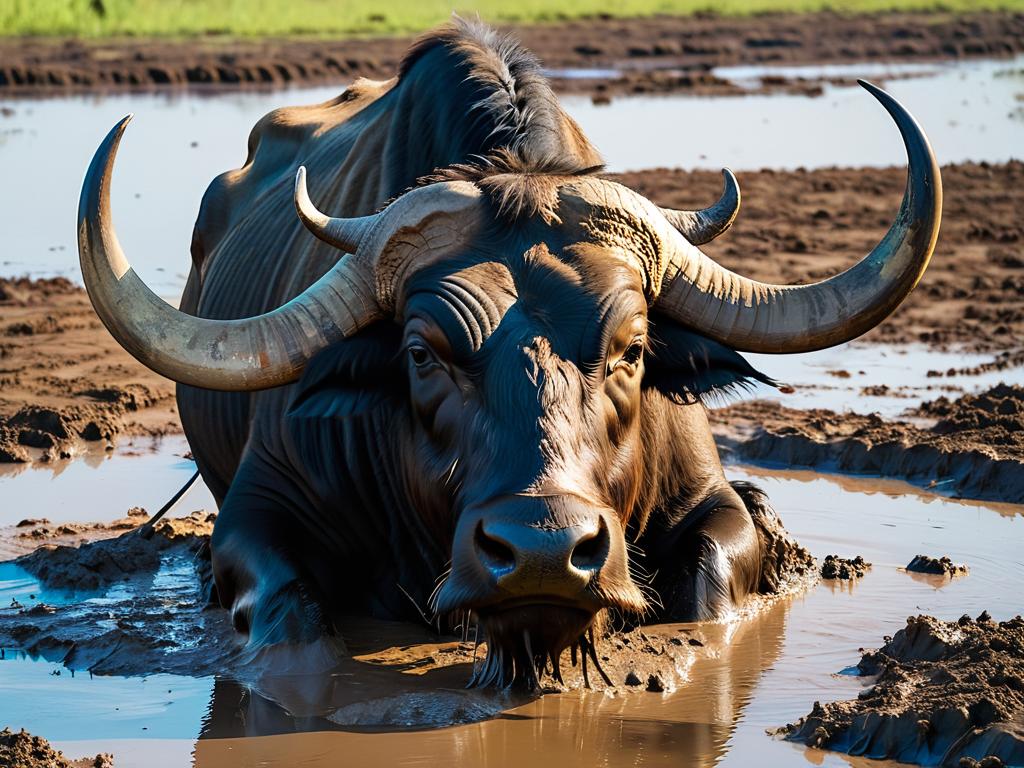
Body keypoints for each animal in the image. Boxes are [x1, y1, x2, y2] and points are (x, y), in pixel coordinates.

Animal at [79, 20, 937, 688]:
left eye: (631, 349)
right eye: (422, 354)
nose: (543, 552)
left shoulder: (707, 502)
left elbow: (708, 589)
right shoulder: (258, 516)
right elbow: (292, 622)